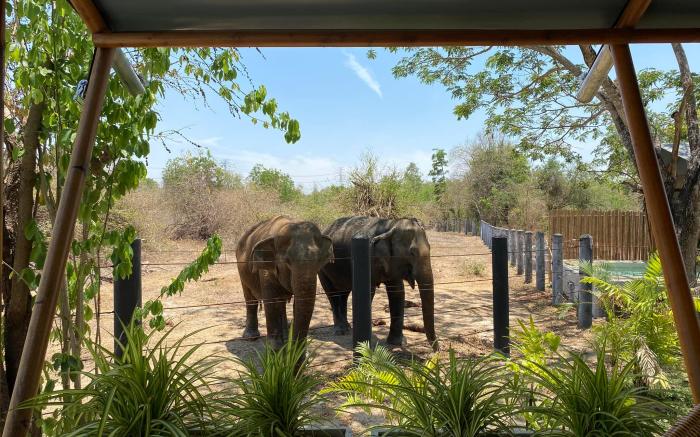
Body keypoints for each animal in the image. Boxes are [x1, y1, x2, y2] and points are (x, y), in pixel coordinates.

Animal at [236, 215, 334, 347]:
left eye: (319, 261)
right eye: (287, 261)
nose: (298, 352)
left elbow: (297, 303)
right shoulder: (266, 270)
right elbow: (271, 301)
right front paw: (275, 349)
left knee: (281, 303)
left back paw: (286, 337)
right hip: (241, 270)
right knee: (250, 298)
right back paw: (251, 337)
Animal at [318, 216, 437, 350]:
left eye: (430, 248)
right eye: (412, 252)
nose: (437, 350)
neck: (390, 225)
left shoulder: (393, 262)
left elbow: (397, 291)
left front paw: (398, 343)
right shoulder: (369, 255)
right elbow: (369, 291)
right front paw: (365, 346)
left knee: (344, 294)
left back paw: (347, 328)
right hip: (322, 267)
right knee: (332, 293)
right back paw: (341, 331)